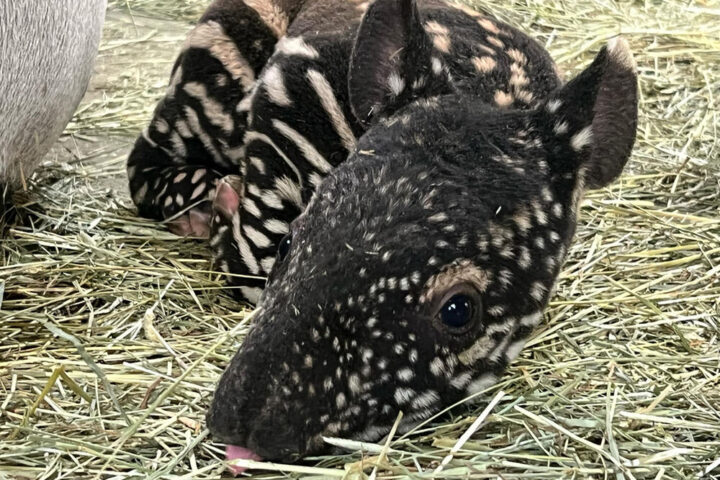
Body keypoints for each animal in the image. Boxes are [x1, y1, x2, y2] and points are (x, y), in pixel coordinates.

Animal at [126, 0, 640, 468]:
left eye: (458, 310)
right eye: (293, 242)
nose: (241, 427)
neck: (488, 90)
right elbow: (250, 255)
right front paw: (224, 203)